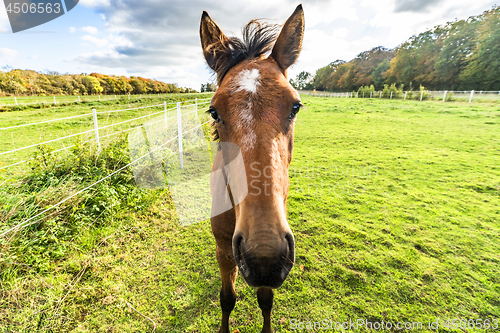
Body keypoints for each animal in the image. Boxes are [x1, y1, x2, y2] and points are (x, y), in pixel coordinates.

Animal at [200, 5, 304, 332]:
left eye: (295, 107)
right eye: (214, 111)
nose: (264, 255)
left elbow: (265, 300)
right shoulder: (224, 249)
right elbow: (227, 298)